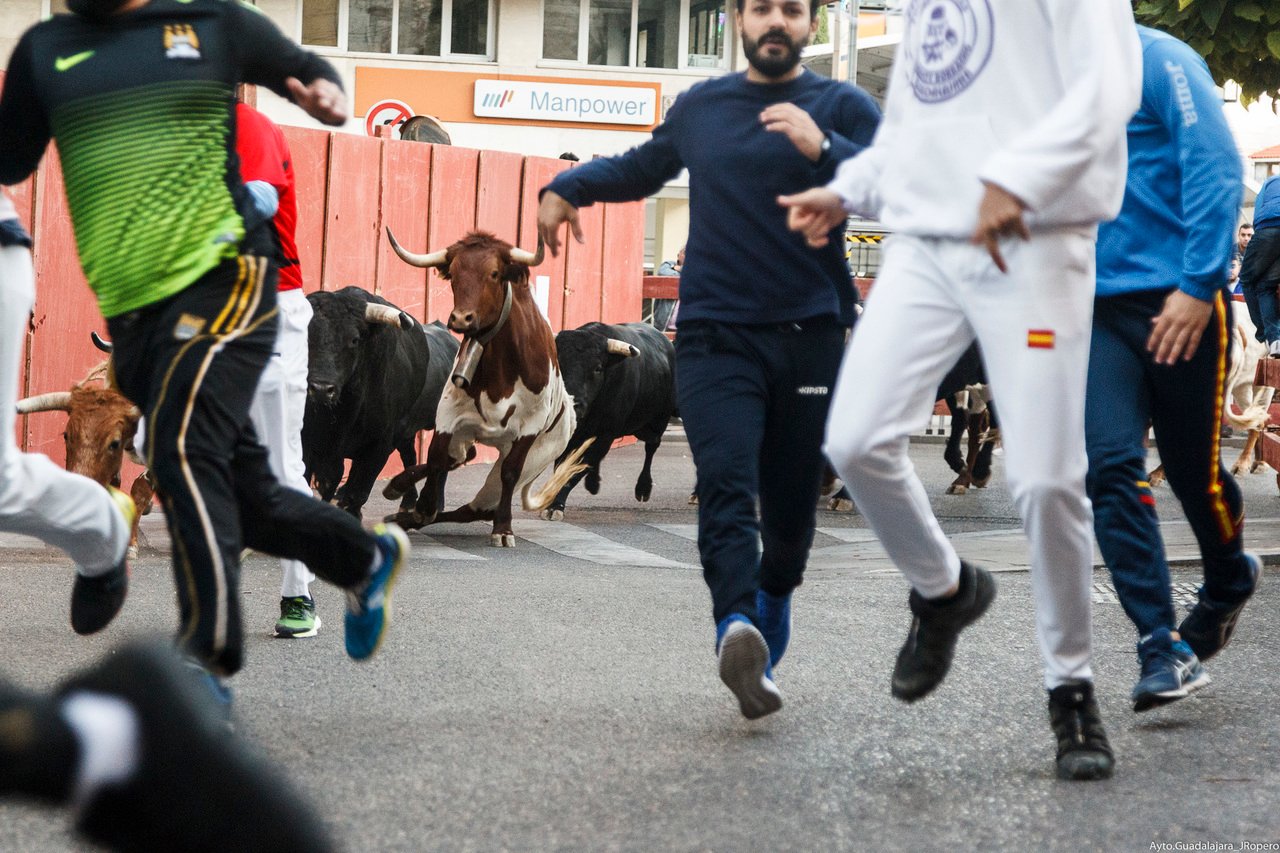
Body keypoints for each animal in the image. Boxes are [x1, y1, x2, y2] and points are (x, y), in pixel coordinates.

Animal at [300, 285, 458, 517]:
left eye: (354, 340)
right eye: (306, 335)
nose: (320, 389)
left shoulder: (379, 446)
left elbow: (357, 494)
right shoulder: (309, 440)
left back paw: (435, 505)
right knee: (409, 455)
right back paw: (408, 502)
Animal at [373, 227, 586, 545]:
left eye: (494, 274)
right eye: (454, 273)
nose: (461, 318)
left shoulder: (529, 428)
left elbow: (509, 472)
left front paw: (503, 529)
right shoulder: (450, 414)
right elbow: (437, 458)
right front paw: (421, 504)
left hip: (536, 458)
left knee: (476, 507)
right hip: (468, 432)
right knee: (459, 461)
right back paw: (403, 505)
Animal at [542, 320, 680, 514]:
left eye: (598, 368)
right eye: (560, 365)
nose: (574, 405)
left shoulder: (606, 435)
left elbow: (578, 467)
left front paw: (556, 505)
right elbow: (563, 465)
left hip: (657, 422)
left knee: (652, 446)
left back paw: (643, 488)